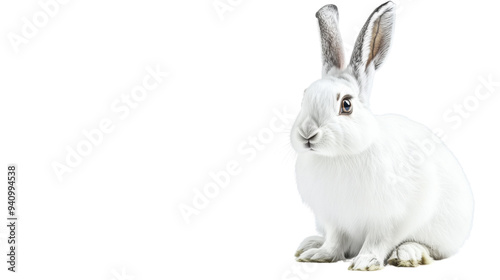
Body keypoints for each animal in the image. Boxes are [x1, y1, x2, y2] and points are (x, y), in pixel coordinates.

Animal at [292, 1, 474, 270]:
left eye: (346, 105)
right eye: (304, 97)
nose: (307, 134)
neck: (340, 156)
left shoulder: (391, 218)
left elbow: (379, 240)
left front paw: (365, 262)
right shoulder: (333, 219)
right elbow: (335, 241)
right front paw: (320, 255)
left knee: (429, 248)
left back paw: (408, 254)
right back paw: (310, 243)